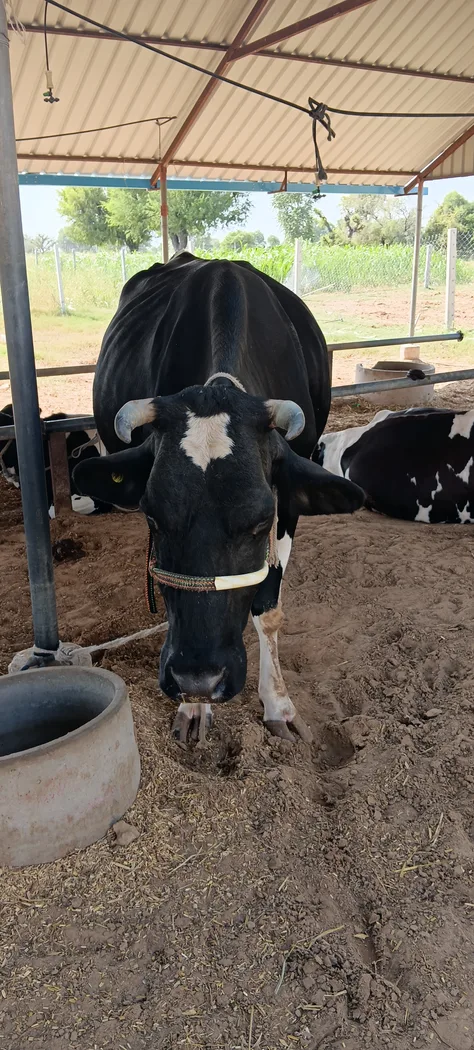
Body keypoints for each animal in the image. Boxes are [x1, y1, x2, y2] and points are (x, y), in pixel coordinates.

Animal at [73, 252, 364, 744]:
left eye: (261, 521)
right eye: (153, 519)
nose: (198, 679)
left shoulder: (289, 503)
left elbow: (269, 609)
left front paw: (278, 705)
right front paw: (194, 709)